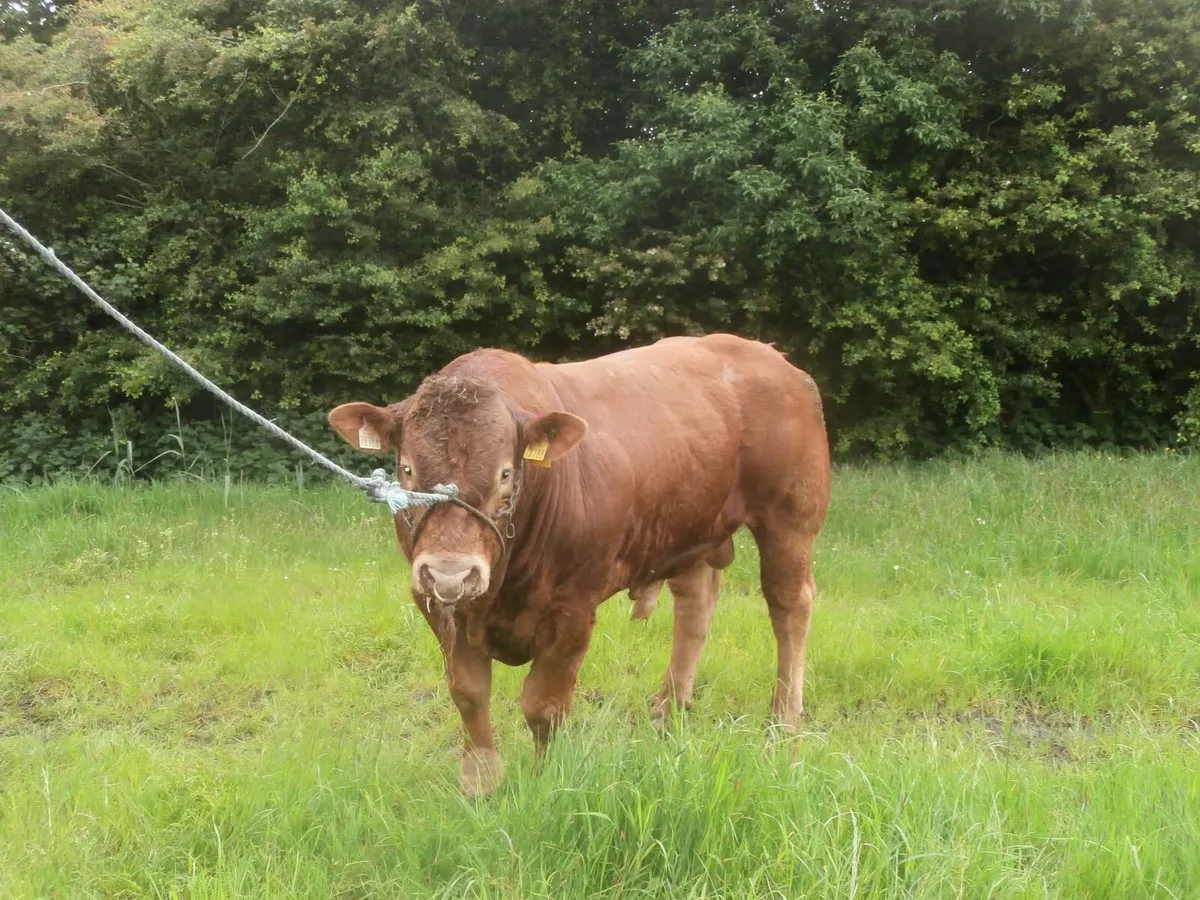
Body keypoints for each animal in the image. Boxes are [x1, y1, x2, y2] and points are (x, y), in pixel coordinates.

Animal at [328, 333, 830, 795]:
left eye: (505, 473)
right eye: (407, 469)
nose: (452, 571)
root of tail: (771, 356)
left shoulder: (572, 610)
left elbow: (543, 706)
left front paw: (545, 781)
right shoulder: (436, 604)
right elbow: (468, 694)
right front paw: (481, 782)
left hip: (789, 518)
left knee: (789, 607)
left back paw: (783, 727)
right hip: (693, 523)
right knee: (696, 605)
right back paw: (668, 713)